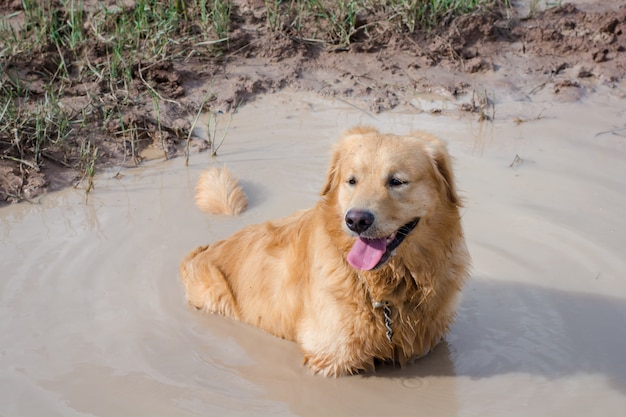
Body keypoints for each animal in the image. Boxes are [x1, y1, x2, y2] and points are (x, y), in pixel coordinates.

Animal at [180, 125, 468, 376]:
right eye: (352, 180)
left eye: (396, 181)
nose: (356, 220)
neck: (382, 287)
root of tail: (206, 248)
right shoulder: (331, 357)